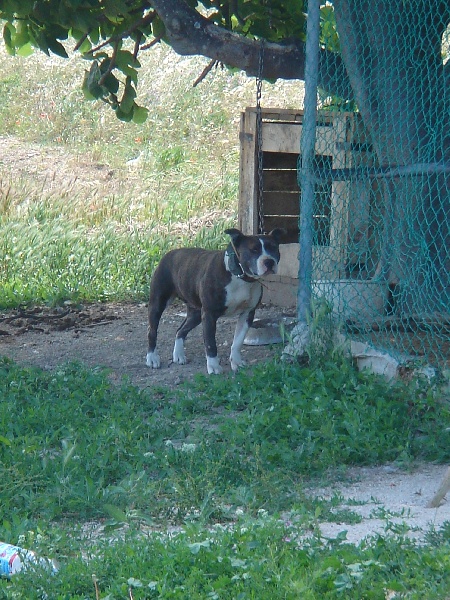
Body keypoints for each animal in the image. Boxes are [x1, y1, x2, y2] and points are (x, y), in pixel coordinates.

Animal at [148, 227, 284, 372]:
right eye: (254, 250)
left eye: (273, 247)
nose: (269, 261)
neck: (239, 276)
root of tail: (169, 253)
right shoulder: (209, 314)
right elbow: (210, 343)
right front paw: (213, 366)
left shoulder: (247, 313)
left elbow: (237, 342)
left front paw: (236, 362)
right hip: (158, 304)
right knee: (152, 332)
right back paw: (152, 358)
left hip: (196, 313)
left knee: (180, 330)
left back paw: (178, 355)